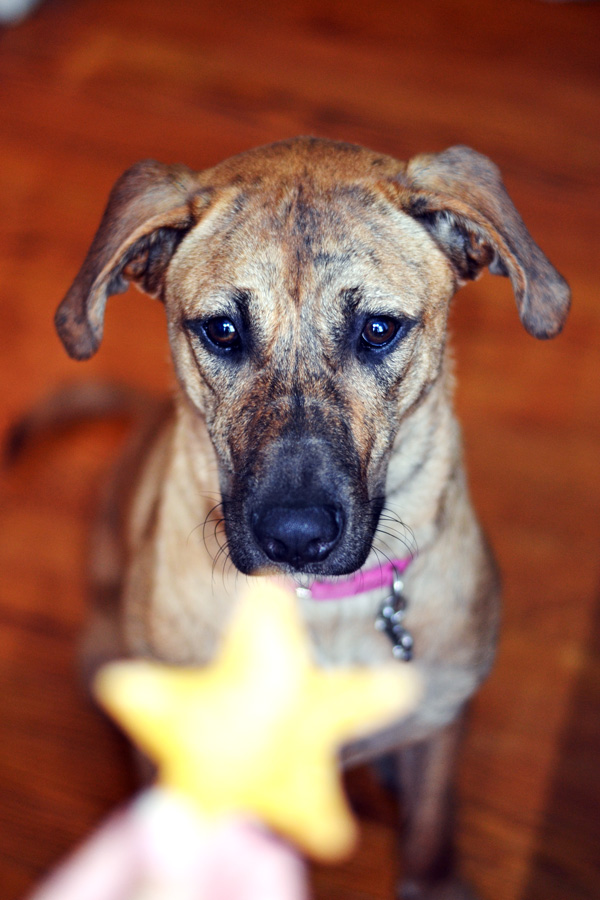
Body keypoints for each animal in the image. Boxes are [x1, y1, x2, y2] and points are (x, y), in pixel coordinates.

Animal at [54, 137, 568, 896]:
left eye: (378, 329)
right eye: (223, 331)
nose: (294, 537)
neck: (320, 610)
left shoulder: (442, 725)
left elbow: (430, 832)